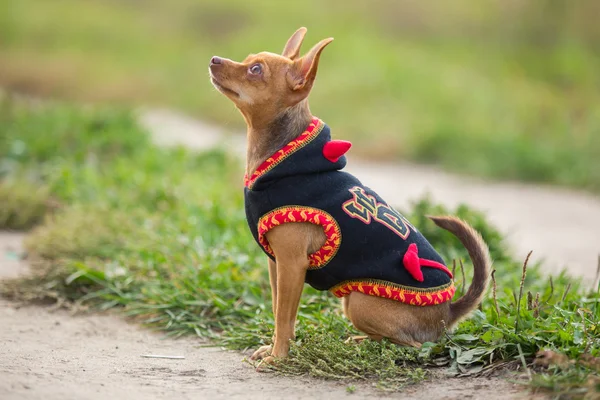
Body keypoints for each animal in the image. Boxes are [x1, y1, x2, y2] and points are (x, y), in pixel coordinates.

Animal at [209, 26, 490, 368]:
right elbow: (279, 313)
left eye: (256, 70)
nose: (214, 59)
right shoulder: (276, 264)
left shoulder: (292, 265)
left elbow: (284, 317)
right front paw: (274, 348)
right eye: (248, 60)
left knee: (412, 345)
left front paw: (279, 357)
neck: (283, 158)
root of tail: (446, 314)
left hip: (359, 302)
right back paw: (360, 342)